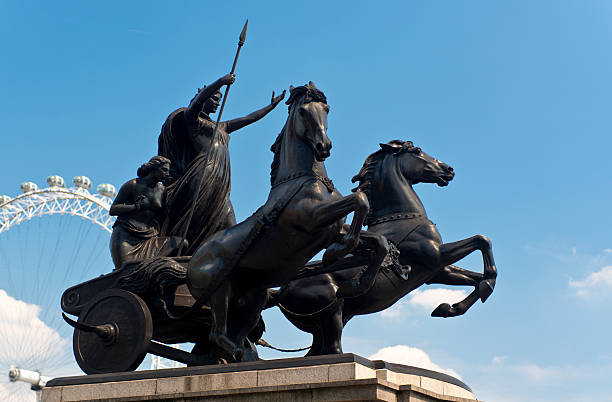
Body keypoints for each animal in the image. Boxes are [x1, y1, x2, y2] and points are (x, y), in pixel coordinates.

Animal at [188, 81, 388, 362]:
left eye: (326, 108)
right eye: (303, 111)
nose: (324, 146)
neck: (303, 179)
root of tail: (192, 260)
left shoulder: (333, 228)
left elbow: (377, 239)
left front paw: (359, 283)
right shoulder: (313, 219)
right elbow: (359, 201)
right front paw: (334, 255)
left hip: (254, 296)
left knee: (233, 332)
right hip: (220, 290)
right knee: (217, 333)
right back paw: (240, 354)